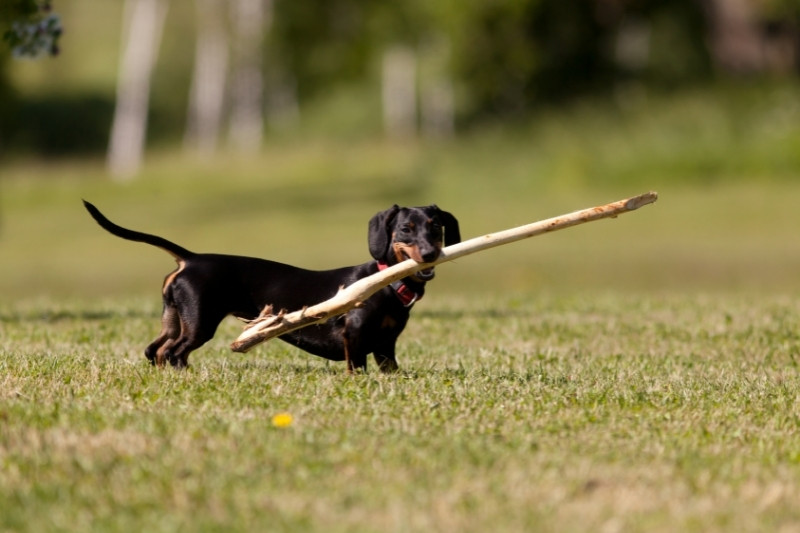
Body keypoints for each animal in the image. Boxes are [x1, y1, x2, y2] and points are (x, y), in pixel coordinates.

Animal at [83, 202, 460, 372]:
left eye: (436, 227)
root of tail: (191, 259)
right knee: (173, 352)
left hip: (174, 317)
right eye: (406, 228)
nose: (430, 254)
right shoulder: (355, 339)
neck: (388, 284)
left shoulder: (386, 347)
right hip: (199, 322)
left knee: (155, 349)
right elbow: (356, 368)